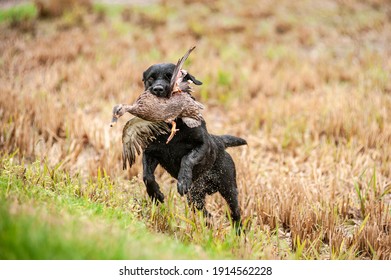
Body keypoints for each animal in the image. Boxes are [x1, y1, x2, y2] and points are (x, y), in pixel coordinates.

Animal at [141, 63, 247, 230]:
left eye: (171, 76)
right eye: (151, 78)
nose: (158, 89)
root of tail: (220, 141)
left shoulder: (202, 145)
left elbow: (187, 159)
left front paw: (183, 180)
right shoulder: (150, 152)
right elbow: (147, 176)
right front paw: (156, 194)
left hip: (229, 187)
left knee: (235, 212)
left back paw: (238, 231)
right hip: (195, 196)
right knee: (204, 211)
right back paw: (209, 222)